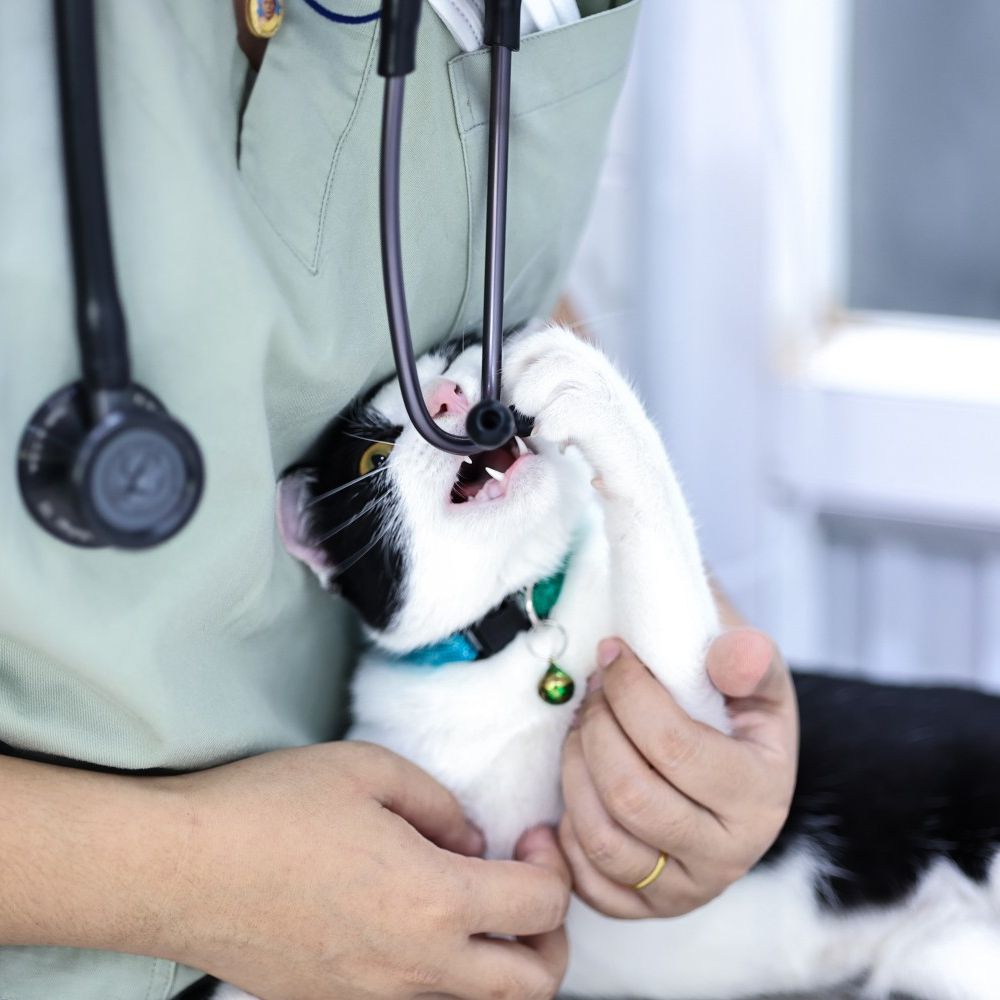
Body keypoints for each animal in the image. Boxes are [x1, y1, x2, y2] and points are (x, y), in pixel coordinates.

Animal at [219, 326, 1000, 1000]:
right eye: (371, 460)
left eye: (456, 356)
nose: (443, 398)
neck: (526, 631)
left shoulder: (690, 705)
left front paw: (581, 380)